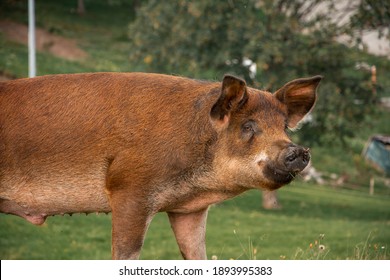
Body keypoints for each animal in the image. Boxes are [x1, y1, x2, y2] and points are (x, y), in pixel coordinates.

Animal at [0, 72, 322, 260]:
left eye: (283, 126)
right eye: (248, 126)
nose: (298, 150)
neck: (197, 186)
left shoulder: (188, 209)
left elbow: (196, 254)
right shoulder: (129, 189)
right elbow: (126, 254)